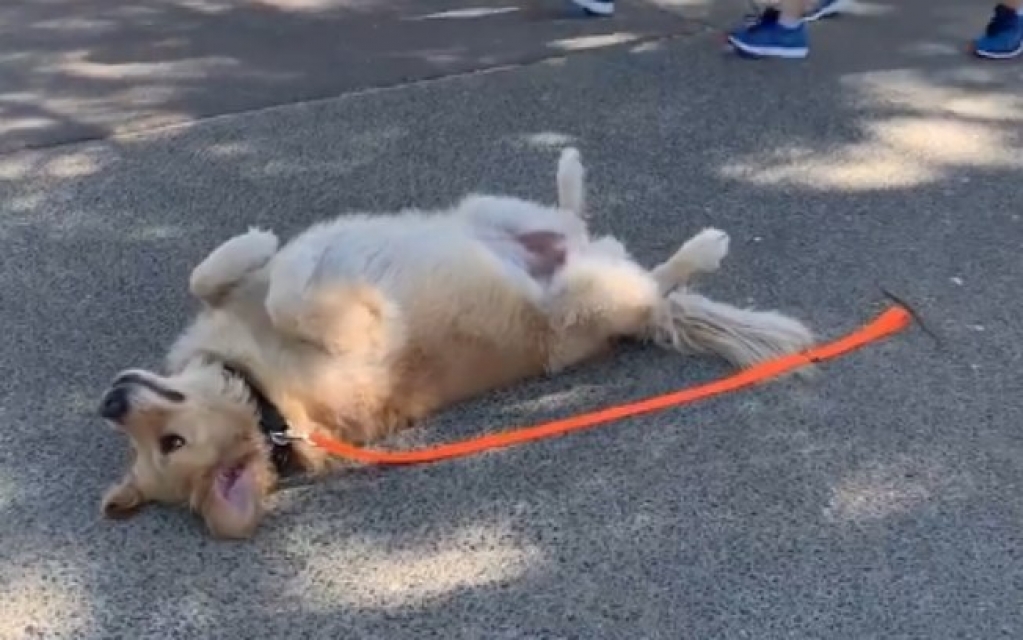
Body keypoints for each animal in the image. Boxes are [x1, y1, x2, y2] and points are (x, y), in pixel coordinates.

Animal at [97, 149, 814, 539]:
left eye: (167, 442)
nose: (110, 402)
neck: (259, 394)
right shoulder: (354, 327)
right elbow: (289, 295)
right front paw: (290, 259)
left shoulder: (230, 307)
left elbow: (212, 275)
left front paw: (265, 247)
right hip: (596, 295)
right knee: (652, 285)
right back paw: (699, 250)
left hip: (490, 209)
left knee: (577, 222)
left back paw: (570, 172)